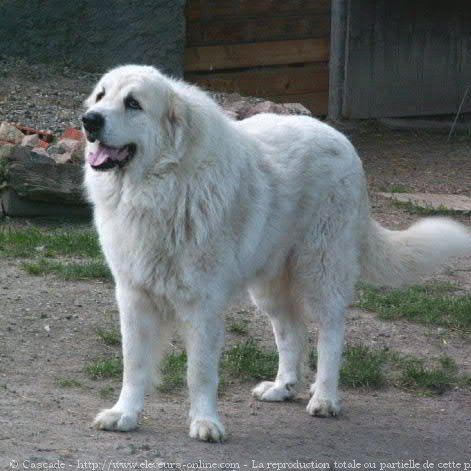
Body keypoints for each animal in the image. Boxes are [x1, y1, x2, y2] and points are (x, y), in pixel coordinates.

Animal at [83, 65, 470, 442]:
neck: (160, 187)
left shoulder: (203, 304)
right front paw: (124, 414)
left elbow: (200, 372)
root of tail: (341, 140)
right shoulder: (133, 295)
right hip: (270, 285)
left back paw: (325, 398)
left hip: (322, 270)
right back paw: (283, 386)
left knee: (331, 332)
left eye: (133, 103)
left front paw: (205, 422)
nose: (89, 120)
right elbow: (134, 365)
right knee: (291, 331)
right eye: (101, 96)